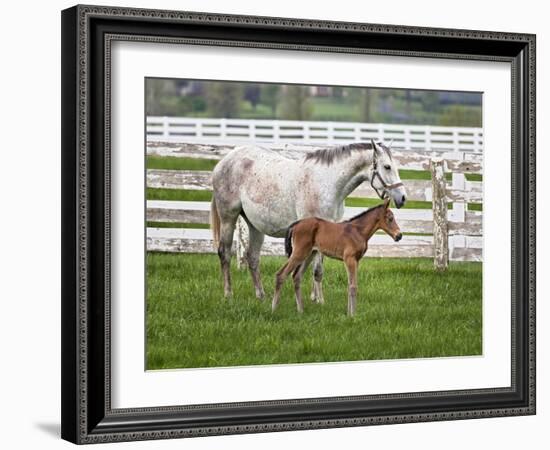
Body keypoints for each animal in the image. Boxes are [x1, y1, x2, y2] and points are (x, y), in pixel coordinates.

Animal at [274, 200, 404, 316]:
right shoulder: (349, 259)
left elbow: (349, 284)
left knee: (296, 276)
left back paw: (300, 310)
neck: (358, 231)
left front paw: (348, 313)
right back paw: (274, 309)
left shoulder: (356, 260)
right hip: (299, 253)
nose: (399, 236)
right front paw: (353, 315)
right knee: (281, 274)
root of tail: (296, 224)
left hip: (309, 254)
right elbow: (353, 286)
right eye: (390, 218)